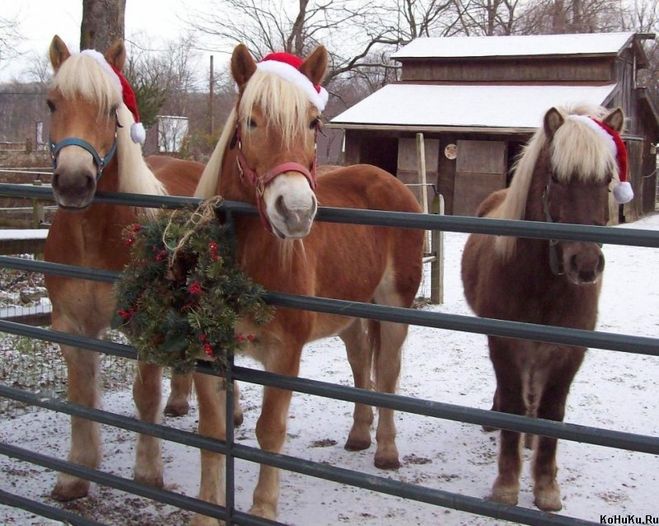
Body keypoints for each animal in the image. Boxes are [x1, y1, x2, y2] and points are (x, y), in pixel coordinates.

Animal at [43, 36, 209, 504]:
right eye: (52, 103)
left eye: (110, 107)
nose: (74, 183)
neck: (93, 239)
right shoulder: (71, 325)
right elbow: (80, 395)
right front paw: (75, 476)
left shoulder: (145, 327)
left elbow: (145, 395)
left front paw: (148, 474)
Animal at [462, 105, 632, 512]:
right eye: (556, 178)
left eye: (606, 180)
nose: (585, 264)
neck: (544, 286)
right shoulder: (505, 344)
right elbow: (512, 402)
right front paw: (507, 485)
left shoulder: (569, 352)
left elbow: (552, 413)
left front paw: (546, 488)